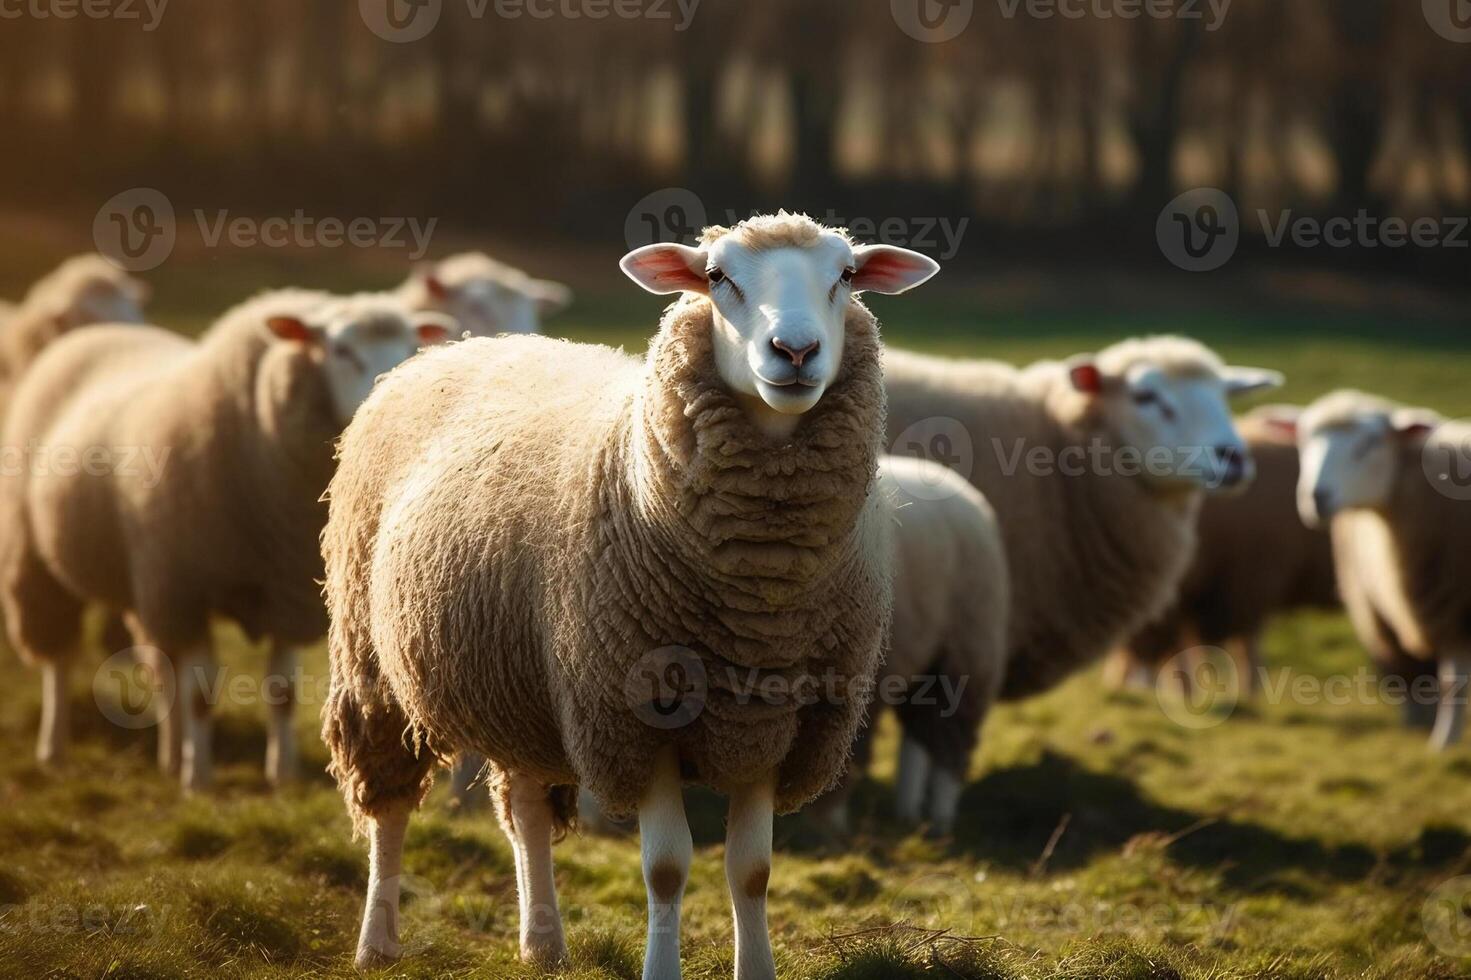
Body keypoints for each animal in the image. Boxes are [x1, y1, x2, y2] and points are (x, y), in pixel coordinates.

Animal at [0, 288, 447, 788]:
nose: (391, 400)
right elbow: (199, 694)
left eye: (412, 346)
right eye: (340, 349)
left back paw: (169, 755)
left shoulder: (288, 594)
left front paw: (281, 775)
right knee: (58, 660)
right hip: (38, 560)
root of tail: (97, 332)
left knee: (163, 669)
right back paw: (55, 747)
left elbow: (282, 692)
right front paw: (199, 779)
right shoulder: (188, 590)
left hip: (147, 585)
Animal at [1300, 388, 1471, 747]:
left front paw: (1444, 742)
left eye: (1368, 443)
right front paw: (1443, 741)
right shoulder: (1448, 609)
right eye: (1302, 438)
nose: (1315, 498)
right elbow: (1452, 680)